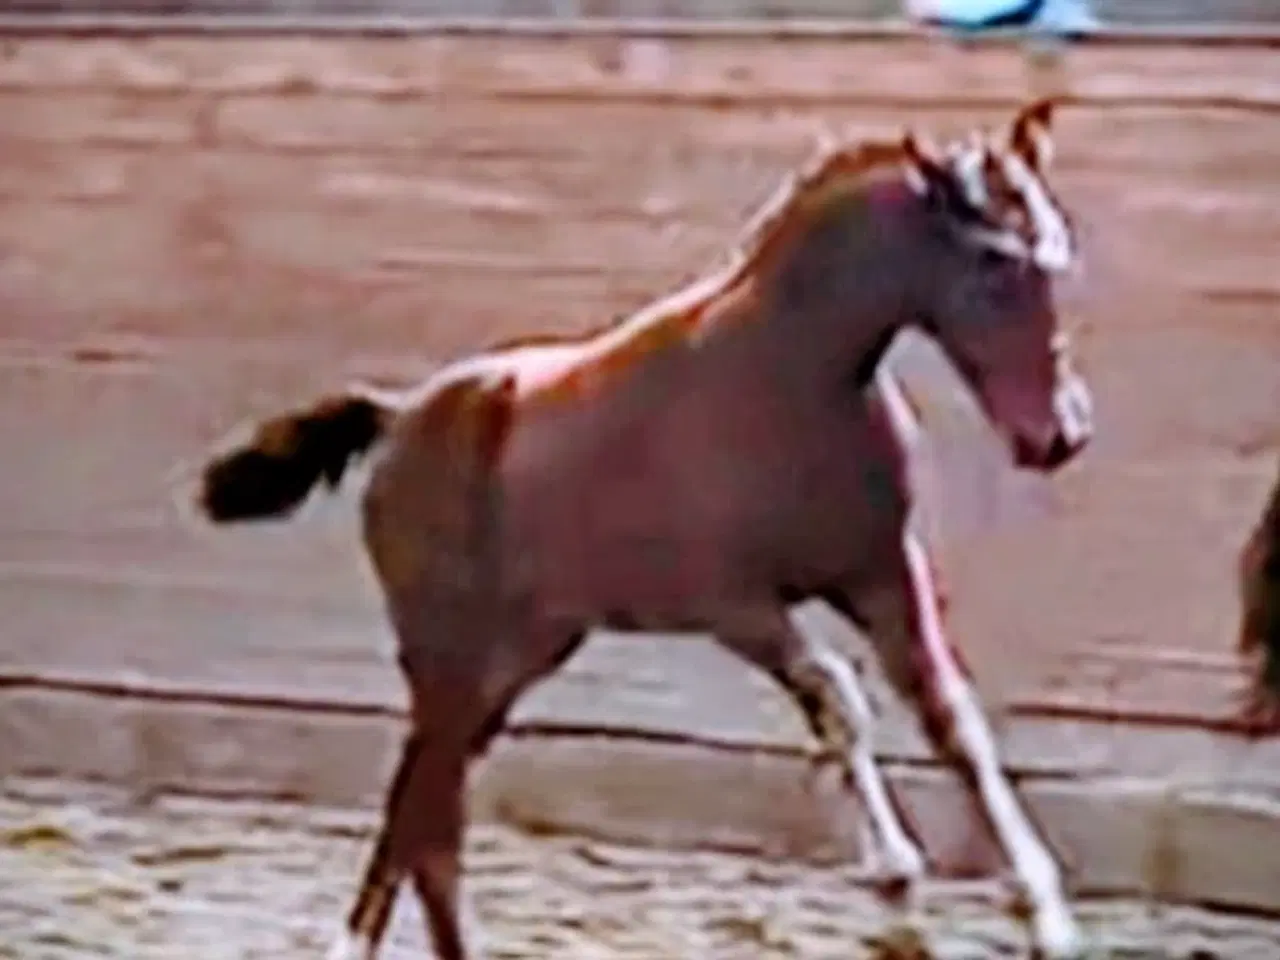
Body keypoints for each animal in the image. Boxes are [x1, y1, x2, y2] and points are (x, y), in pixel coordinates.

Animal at [195, 99, 1095, 959]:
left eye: (1056, 251)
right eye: (994, 261)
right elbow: (839, 700)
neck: (793, 378)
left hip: (516, 658)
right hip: (447, 659)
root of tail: (398, 417)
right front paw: (895, 867)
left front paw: (1040, 911)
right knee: (421, 816)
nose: (1059, 434)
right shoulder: (731, 605)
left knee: (427, 814)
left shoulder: (881, 574)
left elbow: (954, 723)